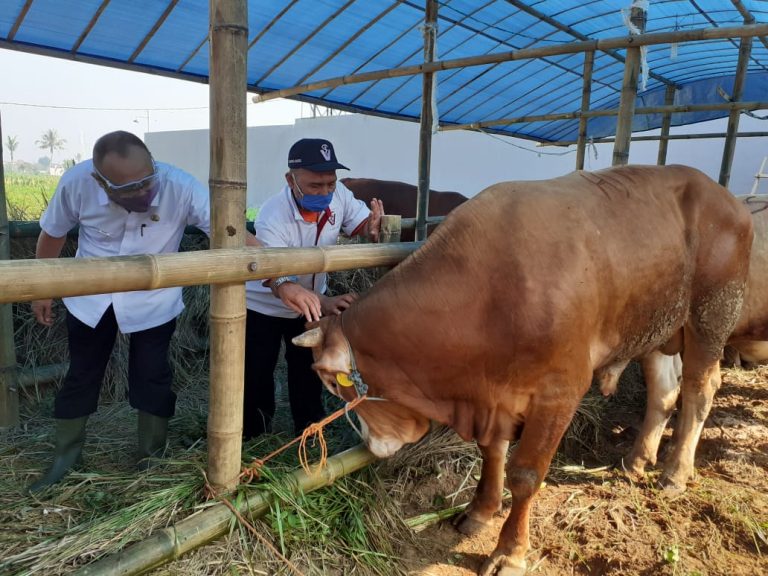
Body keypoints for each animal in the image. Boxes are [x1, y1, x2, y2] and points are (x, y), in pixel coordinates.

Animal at [294, 164, 752, 572]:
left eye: (333, 384)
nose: (372, 445)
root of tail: (725, 197)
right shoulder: (494, 396)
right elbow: (492, 454)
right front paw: (480, 511)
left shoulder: (560, 393)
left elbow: (525, 475)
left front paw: (509, 551)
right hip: (657, 327)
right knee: (664, 391)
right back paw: (637, 459)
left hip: (711, 316)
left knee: (700, 389)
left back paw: (675, 472)